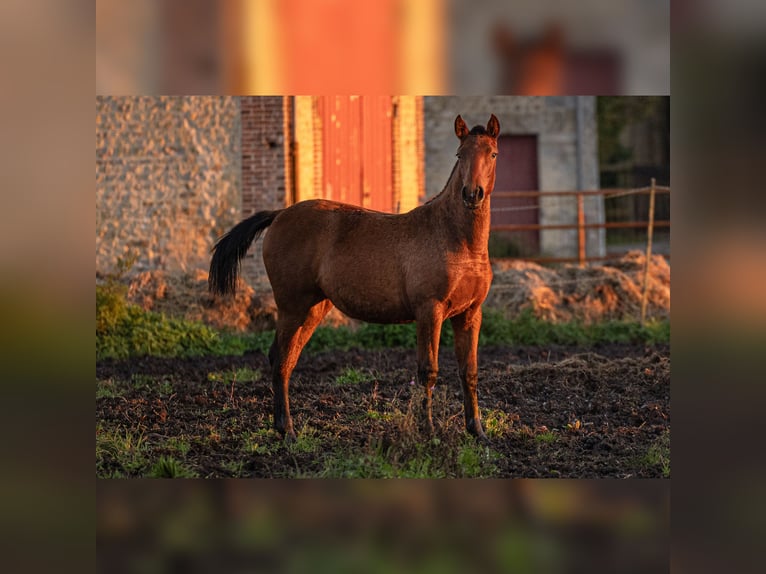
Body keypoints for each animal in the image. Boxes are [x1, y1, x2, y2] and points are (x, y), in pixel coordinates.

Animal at [208, 115, 504, 444]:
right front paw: (428, 432)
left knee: (285, 358)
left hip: (312, 310)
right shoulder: (430, 311)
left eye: (492, 154)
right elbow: (428, 371)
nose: (472, 194)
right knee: (282, 360)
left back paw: (282, 427)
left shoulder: (470, 314)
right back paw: (289, 431)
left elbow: (469, 371)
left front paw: (477, 431)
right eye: (459, 155)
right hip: (291, 308)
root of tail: (281, 213)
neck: (456, 240)